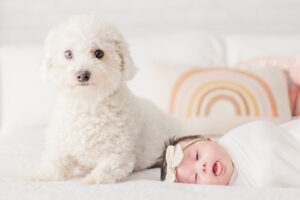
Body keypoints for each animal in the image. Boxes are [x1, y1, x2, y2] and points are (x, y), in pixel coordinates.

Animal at [32, 14, 183, 184]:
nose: (82, 75)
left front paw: (92, 179)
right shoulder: (61, 146)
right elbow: (53, 163)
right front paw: (41, 175)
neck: (89, 104)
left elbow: (106, 169)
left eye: (99, 53)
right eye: (68, 54)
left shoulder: (119, 156)